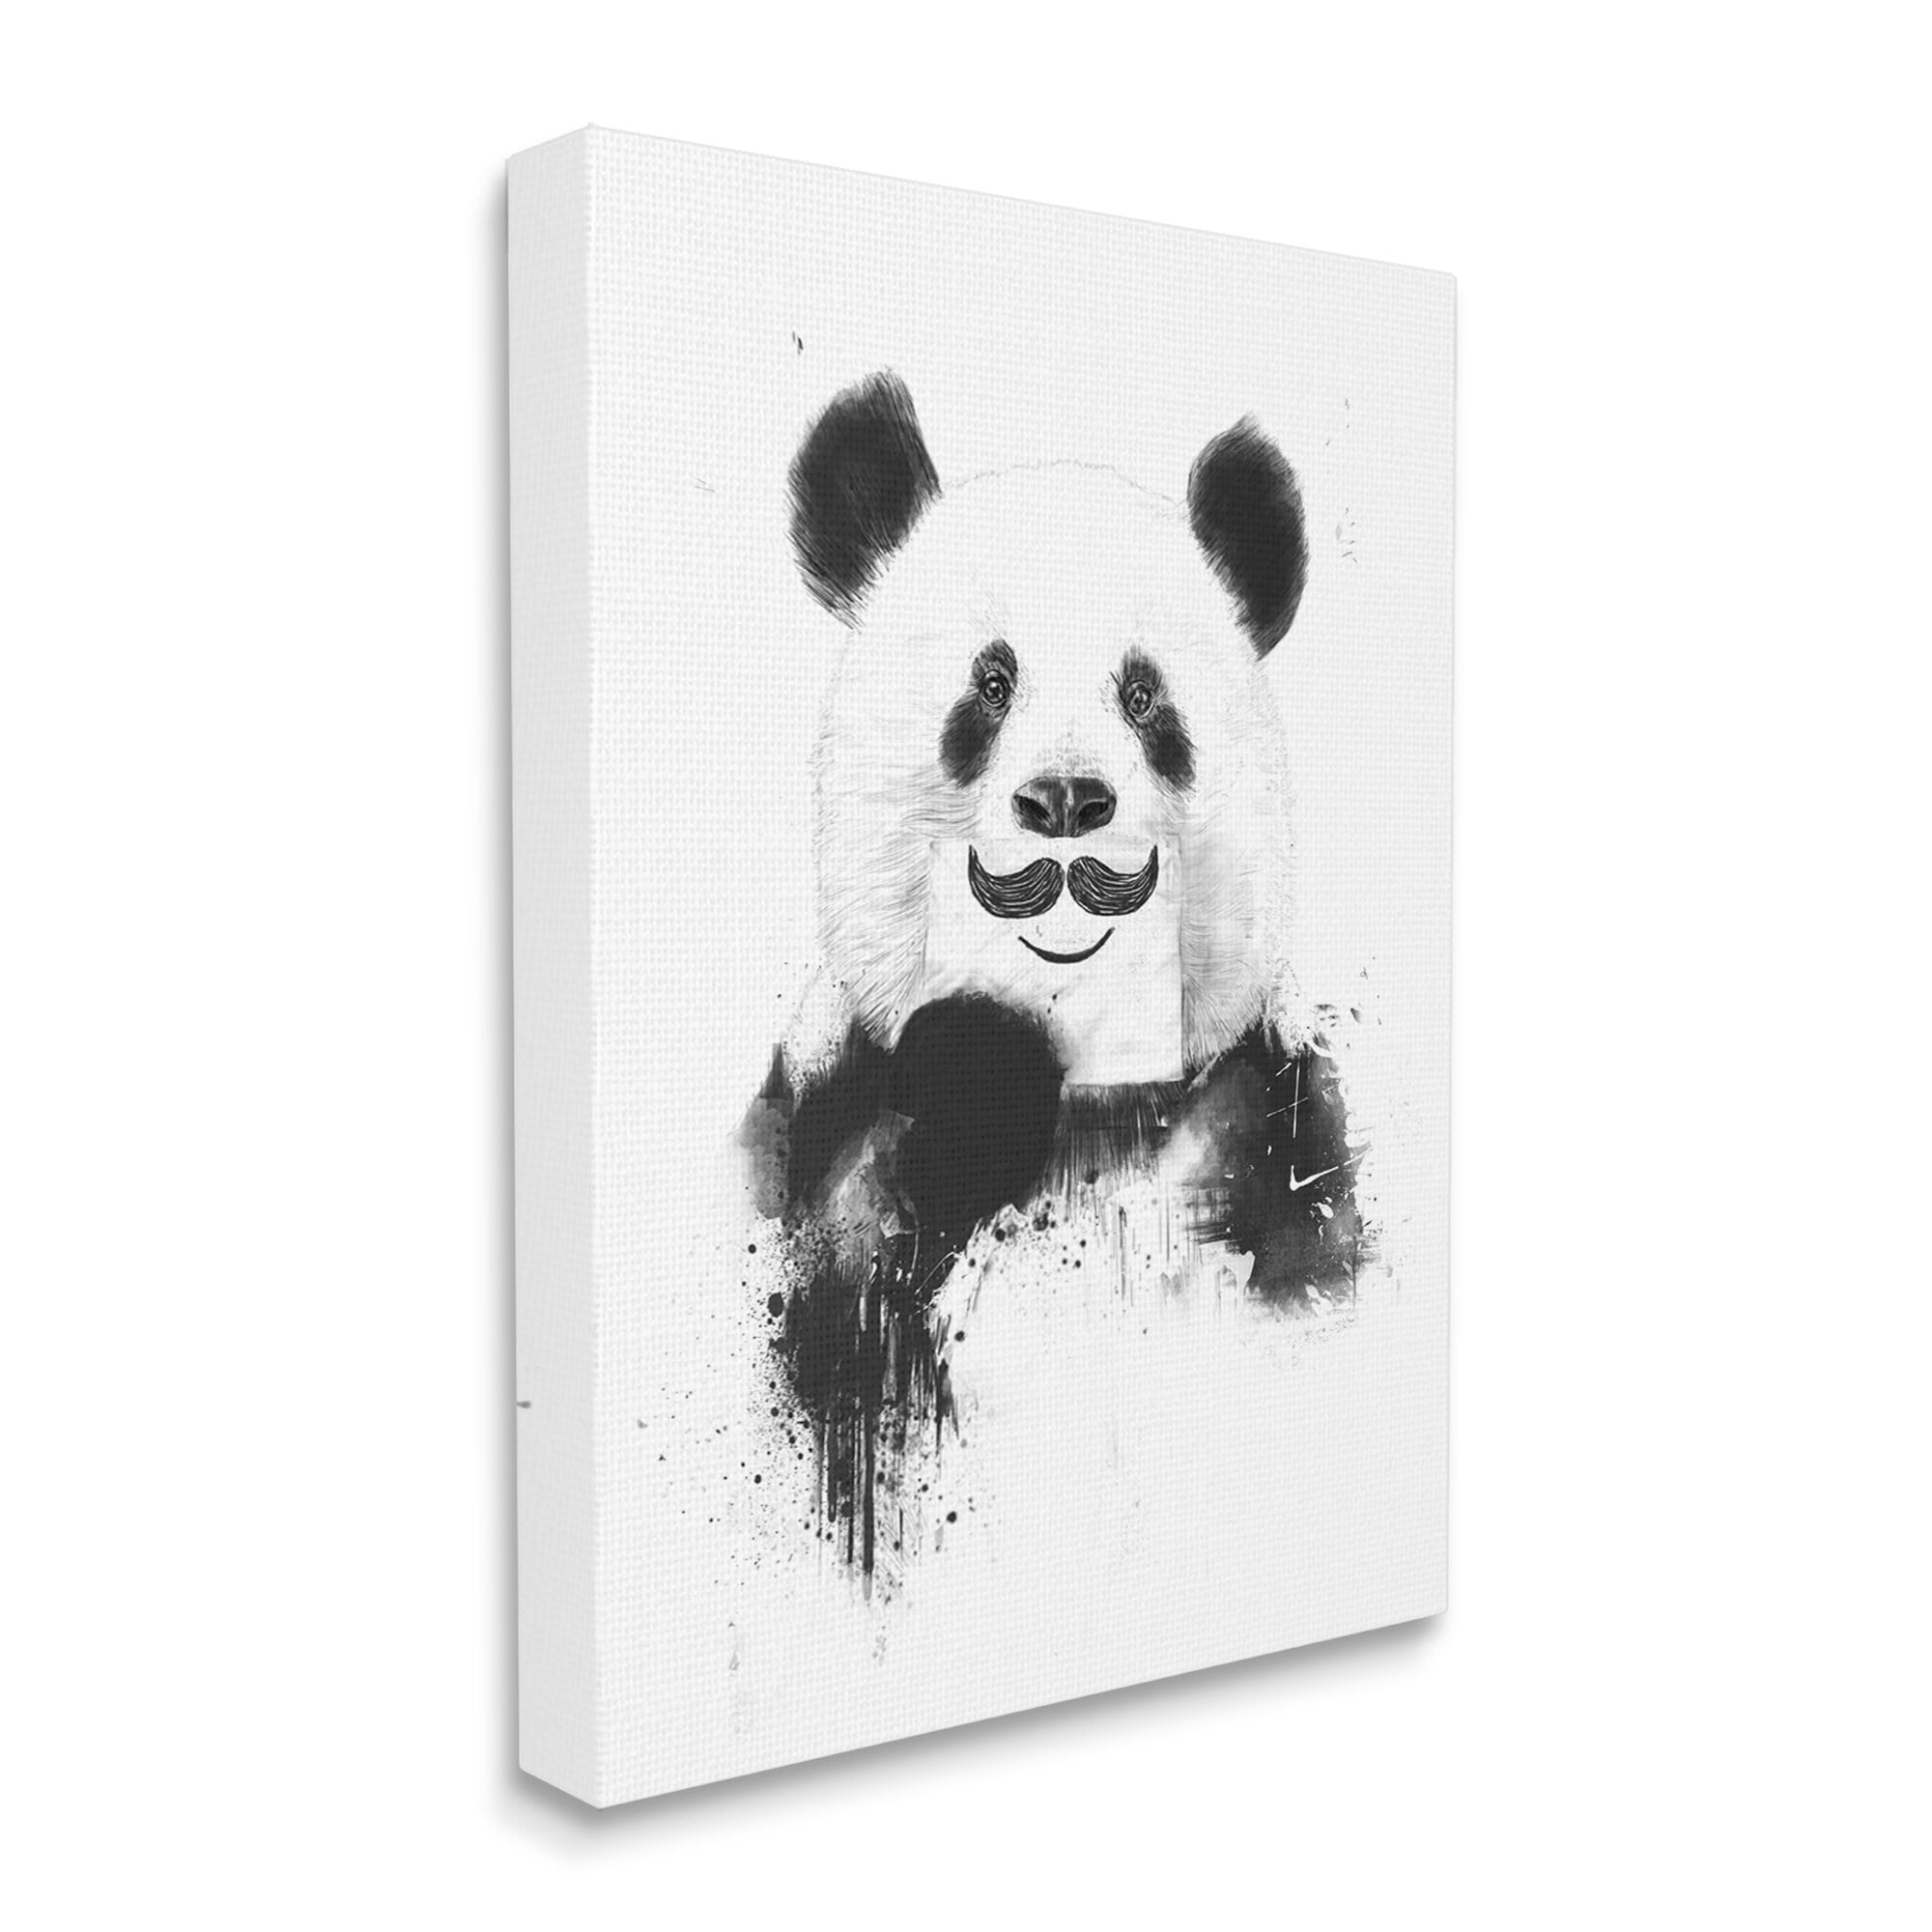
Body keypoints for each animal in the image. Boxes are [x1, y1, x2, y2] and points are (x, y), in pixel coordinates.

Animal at [744, 372, 1362, 1580]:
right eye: (990, 684)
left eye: (1143, 698)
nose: (1067, 800)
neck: (1086, 1101)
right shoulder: (816, 1118)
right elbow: (846, 1308)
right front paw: (973, 1069)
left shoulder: (1271, 1123)